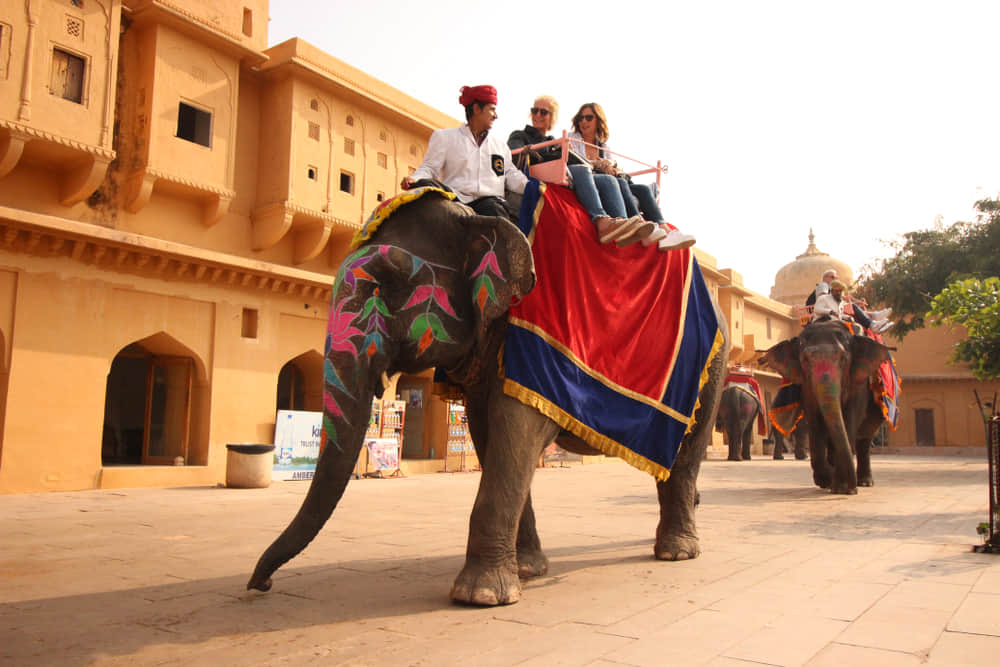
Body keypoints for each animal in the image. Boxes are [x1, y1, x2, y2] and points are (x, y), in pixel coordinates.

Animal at [246, 191, 730, 606]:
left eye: (387, 283)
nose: (261, 585)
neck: (476, 216)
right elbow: (490, 436)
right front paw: (529, 572)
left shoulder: (530, 335)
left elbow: (515, 434)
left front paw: (479, 596)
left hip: (712, 368)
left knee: (685, 458)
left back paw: (677, 552)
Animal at [758, 316, 891, 494]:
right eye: (805, 360)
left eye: (843, 359)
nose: (853, 489)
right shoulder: (806, 385)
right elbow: (814, 419)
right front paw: (826, 480)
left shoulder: (859, 380)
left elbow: (851, 416)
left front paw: (842, 488)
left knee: (865, 438)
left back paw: (864, 482)